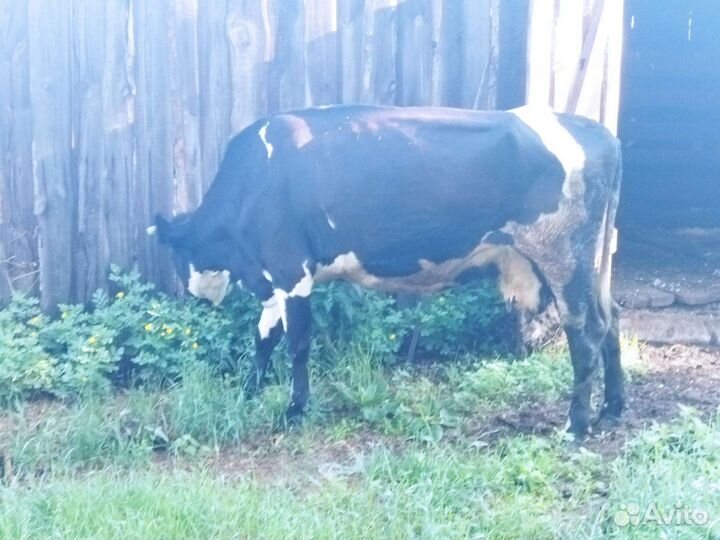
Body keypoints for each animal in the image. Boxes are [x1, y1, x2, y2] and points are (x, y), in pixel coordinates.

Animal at [149, 104, 623, 438]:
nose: (194, 293)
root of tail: (596, 130)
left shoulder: (290, 272)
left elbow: (297, 345)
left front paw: (295, 410)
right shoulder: (273, 281)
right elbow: (264, 339)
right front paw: (249, 392)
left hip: (565, 258)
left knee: (585, 333)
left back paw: (577, 425)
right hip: (591, 263)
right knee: (611, 319)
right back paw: (613, 409)